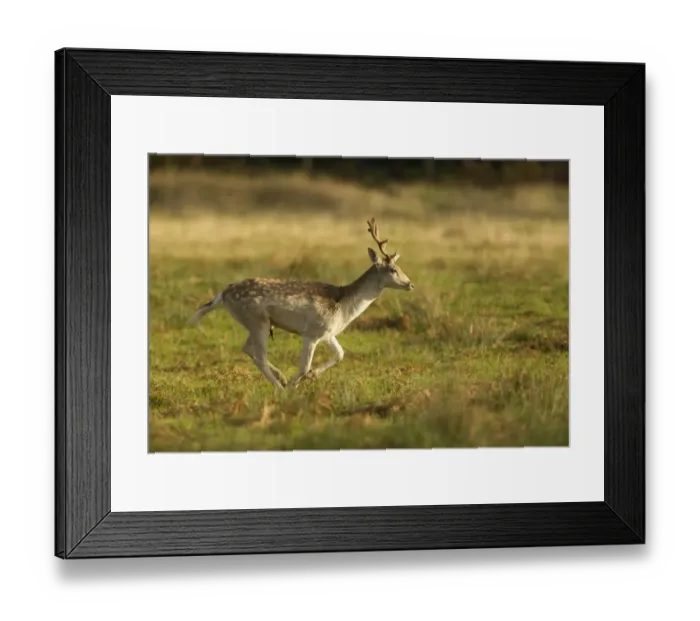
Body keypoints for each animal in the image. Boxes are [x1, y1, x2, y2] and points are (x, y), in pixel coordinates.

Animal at [189, 218, 415, 389]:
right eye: (393, 269)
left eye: (400, 266)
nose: (410, 284)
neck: (344, 307)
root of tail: (223, 294)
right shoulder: (311, 332)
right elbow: (304, 366)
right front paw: (295, 383)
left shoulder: (328, 333)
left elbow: (340, 354)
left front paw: (312, 375)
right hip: (257, 320)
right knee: (258, 354)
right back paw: (280, 388)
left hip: (256, 323)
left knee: (247, 348)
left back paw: (280, 377)